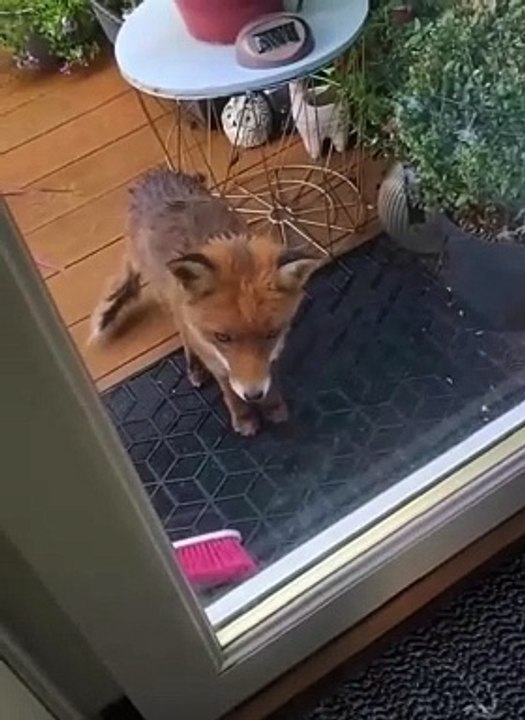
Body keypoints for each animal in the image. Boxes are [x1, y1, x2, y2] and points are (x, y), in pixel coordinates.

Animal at [91, 168, 320, 436]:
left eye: (271, 334)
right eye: (223, 337)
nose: (253, 395)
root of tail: (154, 174)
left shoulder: (272, 351)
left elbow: (270, 375)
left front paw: (273, 406)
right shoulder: (212, 353)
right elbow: (229, 390)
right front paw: (243, 418)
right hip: (168, 298)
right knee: (182, 331)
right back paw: (194, 367)